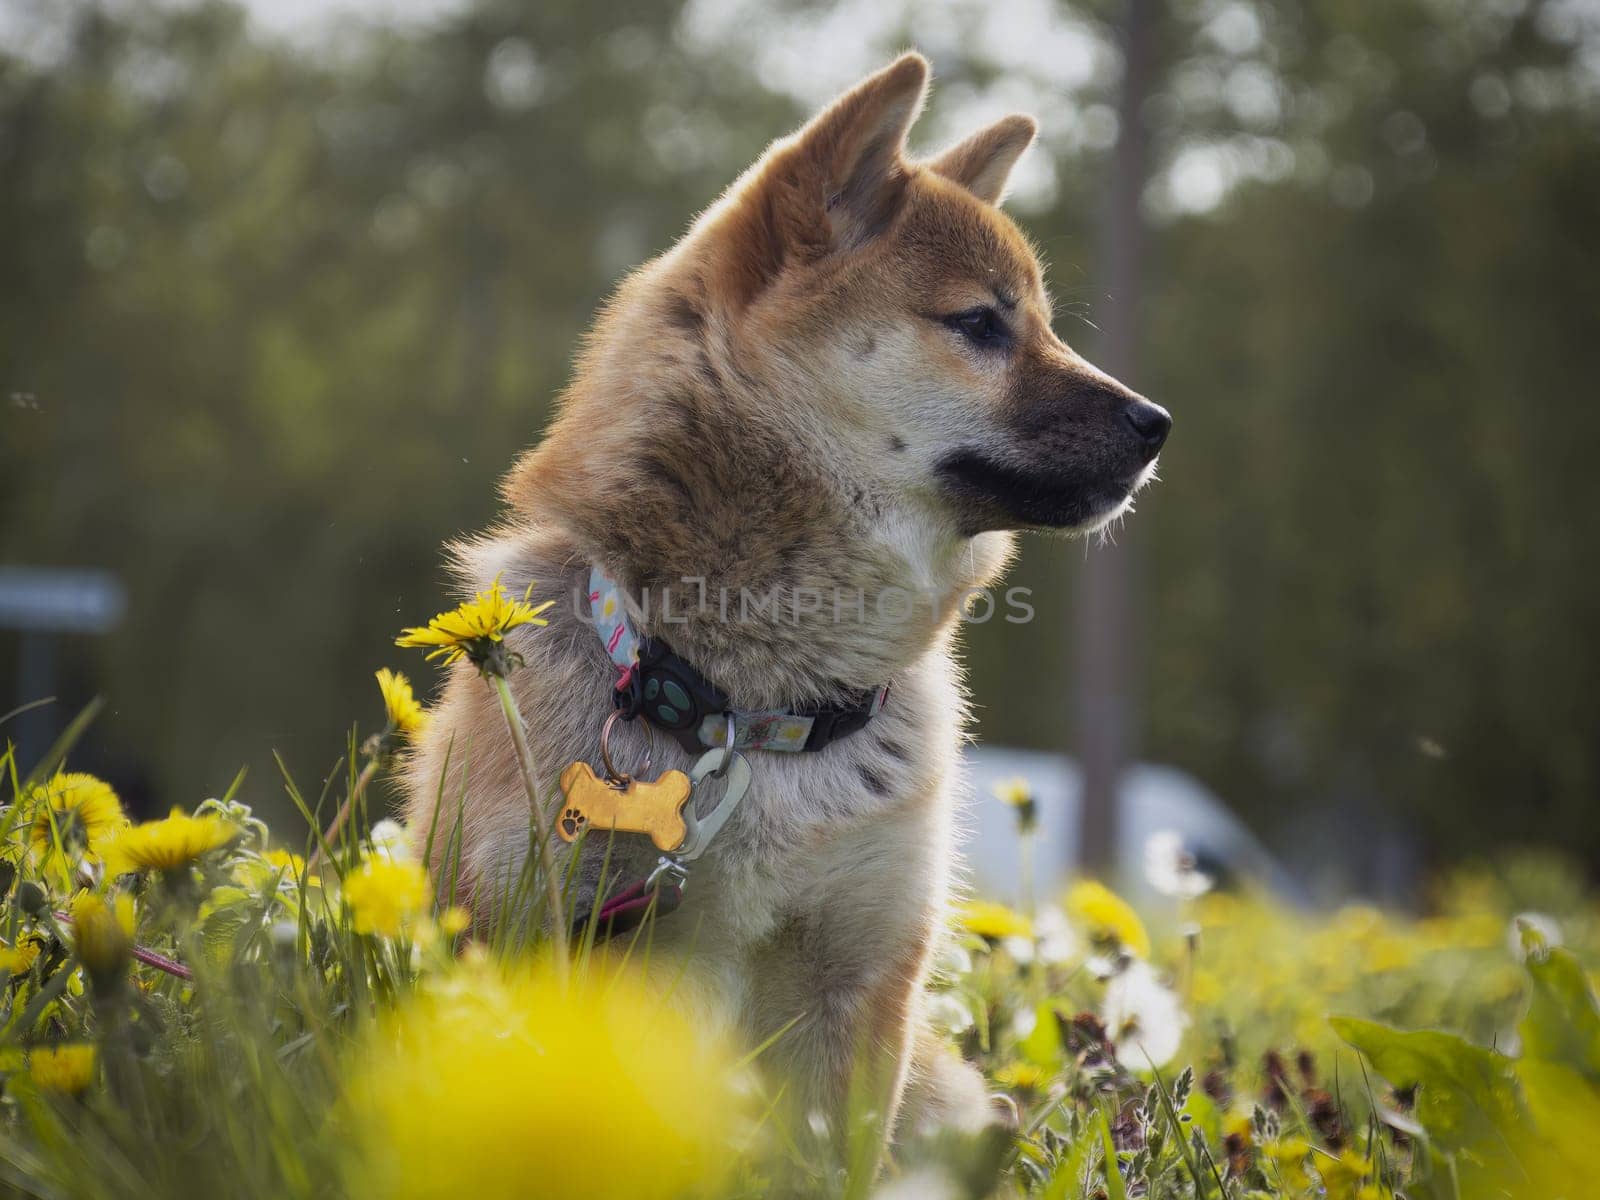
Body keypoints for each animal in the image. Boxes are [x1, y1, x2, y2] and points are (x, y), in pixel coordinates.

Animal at [406, 54, 1171, 1145]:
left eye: (1046, 323)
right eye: (981, 323)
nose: (1159, 423)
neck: (748, 715)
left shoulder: (854, 980)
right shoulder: (540, 929)